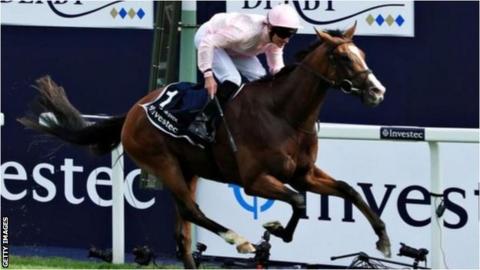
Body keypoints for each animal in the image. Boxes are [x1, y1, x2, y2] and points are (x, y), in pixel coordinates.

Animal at [20, 23, 392, 268]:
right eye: (343, 57)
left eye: (361, 53)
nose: (378, 91)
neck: (283, 114)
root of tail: (134, 111)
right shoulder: (254, 180)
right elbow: (299, 201)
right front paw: (274, 232)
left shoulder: (303, 173)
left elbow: (347, 190)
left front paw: (384, 240)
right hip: (164, 163)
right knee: (191, 212)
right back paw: (238, 240)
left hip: (190, 170)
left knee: (183, 235)